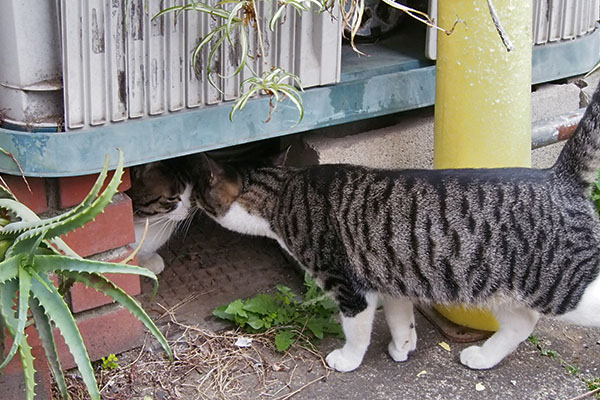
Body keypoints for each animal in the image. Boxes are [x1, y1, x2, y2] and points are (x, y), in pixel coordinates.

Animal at [193, 83, 600, 374]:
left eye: (199, 189)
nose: (189, 198)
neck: (285, 192)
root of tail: (558, 178)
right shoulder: (393, 279)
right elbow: (401, 320)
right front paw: (402, 348)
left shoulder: (350, 286)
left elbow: (357, 330)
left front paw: (347, 359)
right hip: (496, 287)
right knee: (523, 323)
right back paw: (483, 357)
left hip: (563, 286)